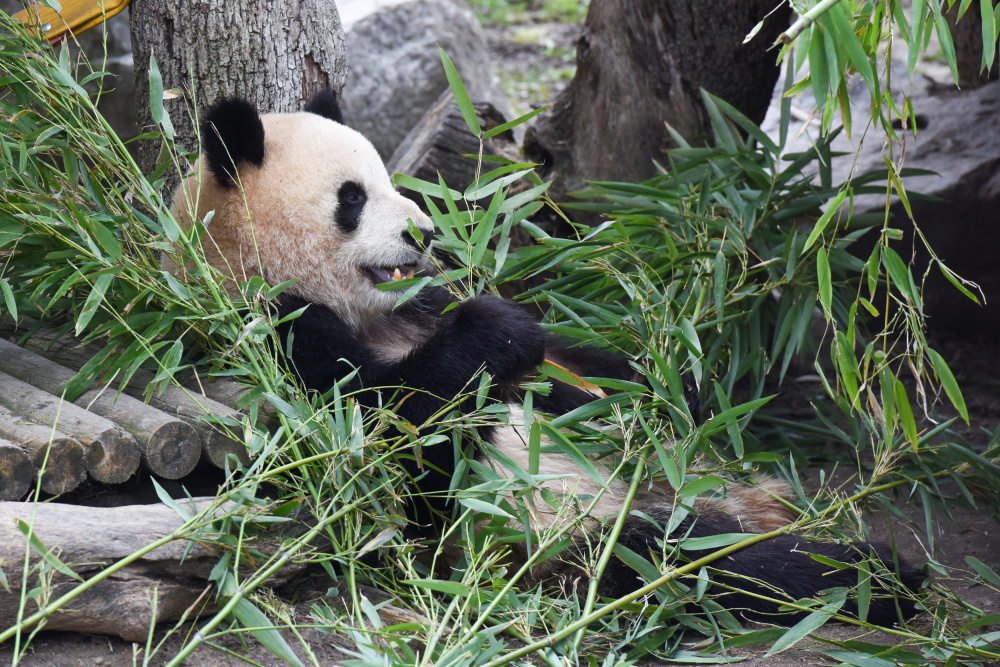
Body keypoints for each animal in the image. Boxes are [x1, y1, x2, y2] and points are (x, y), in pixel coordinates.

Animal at [168, 87, 924, 628]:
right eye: (351, 199)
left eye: (389, 179)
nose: (425, 231)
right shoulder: (274, 336)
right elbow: (387, 427)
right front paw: (498, 332)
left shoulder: (419, 302)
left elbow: (581, 365)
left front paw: (665, 389)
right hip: (574, 531)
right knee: (690, 559)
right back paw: (874, 573)